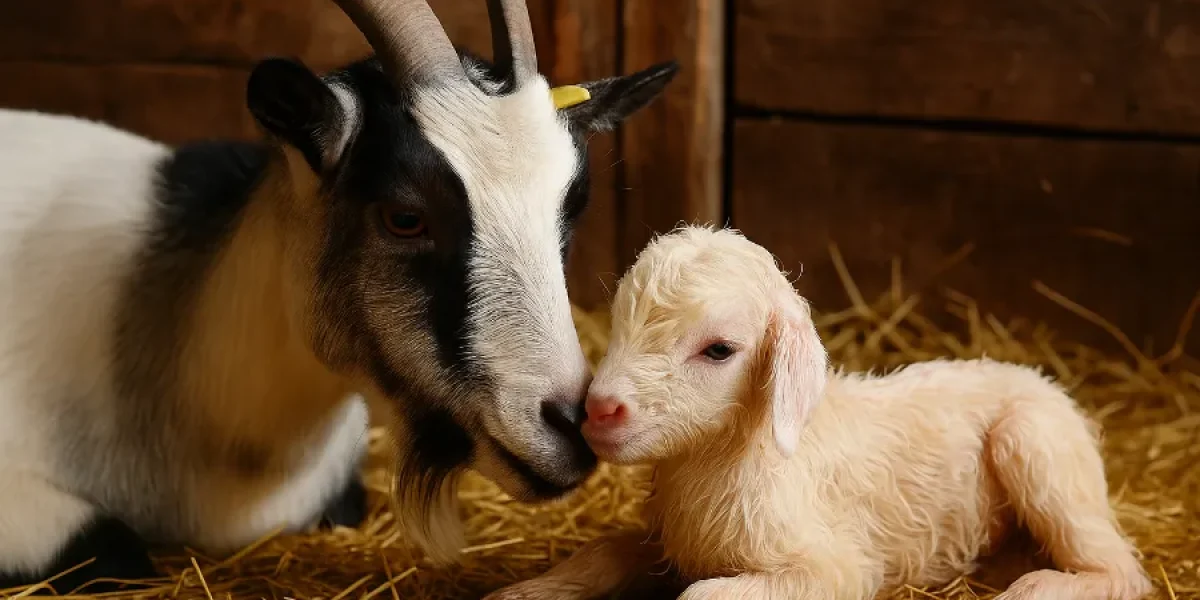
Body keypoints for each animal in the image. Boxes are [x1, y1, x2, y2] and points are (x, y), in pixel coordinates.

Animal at [484, 226, 1153, 600]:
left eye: (719, 349)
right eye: (621, 319)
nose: (598, 409)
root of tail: (1039, 377)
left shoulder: (834, 568)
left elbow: (702, 596)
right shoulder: (673, 540)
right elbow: (605, 552)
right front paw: (525, 593)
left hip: (1039, 446)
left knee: (1120, 569)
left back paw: (1032, 590)